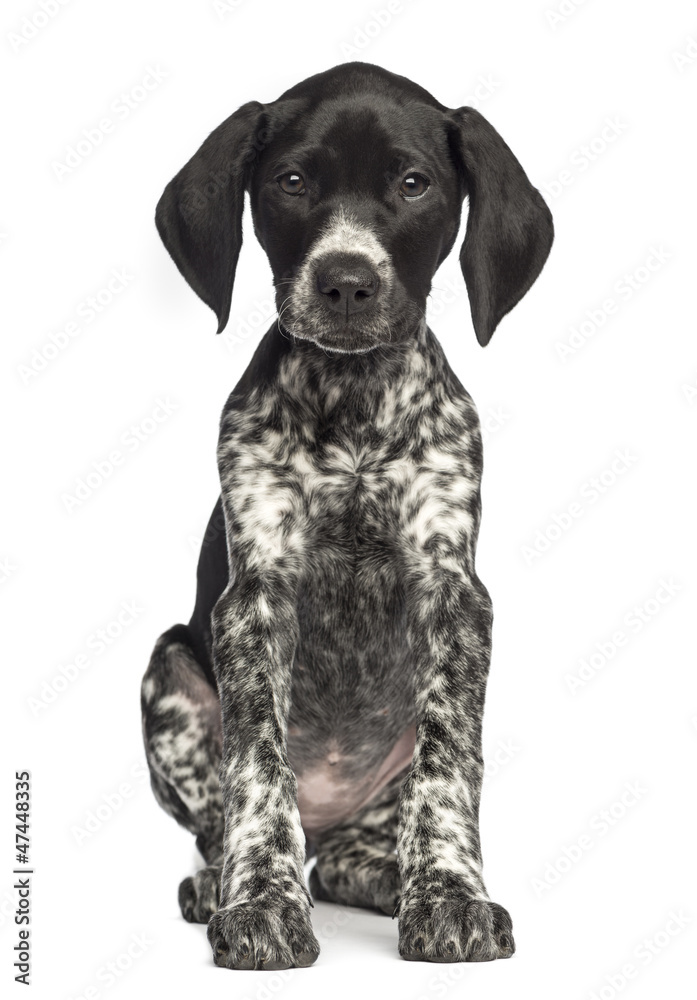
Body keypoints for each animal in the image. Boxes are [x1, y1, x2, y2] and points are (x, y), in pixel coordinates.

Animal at [141, 60, 552, 968]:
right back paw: (218, 881)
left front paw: (450, 896)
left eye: (413, 183)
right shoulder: (254, 600)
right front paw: (260, 903)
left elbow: (449, 766)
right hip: (170, 674)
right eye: (291, 183)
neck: (355, 404)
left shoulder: (452, 595)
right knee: (235, 823)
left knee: (343, 859)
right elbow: (258, 767)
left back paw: (383, 875)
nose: (346, 283)